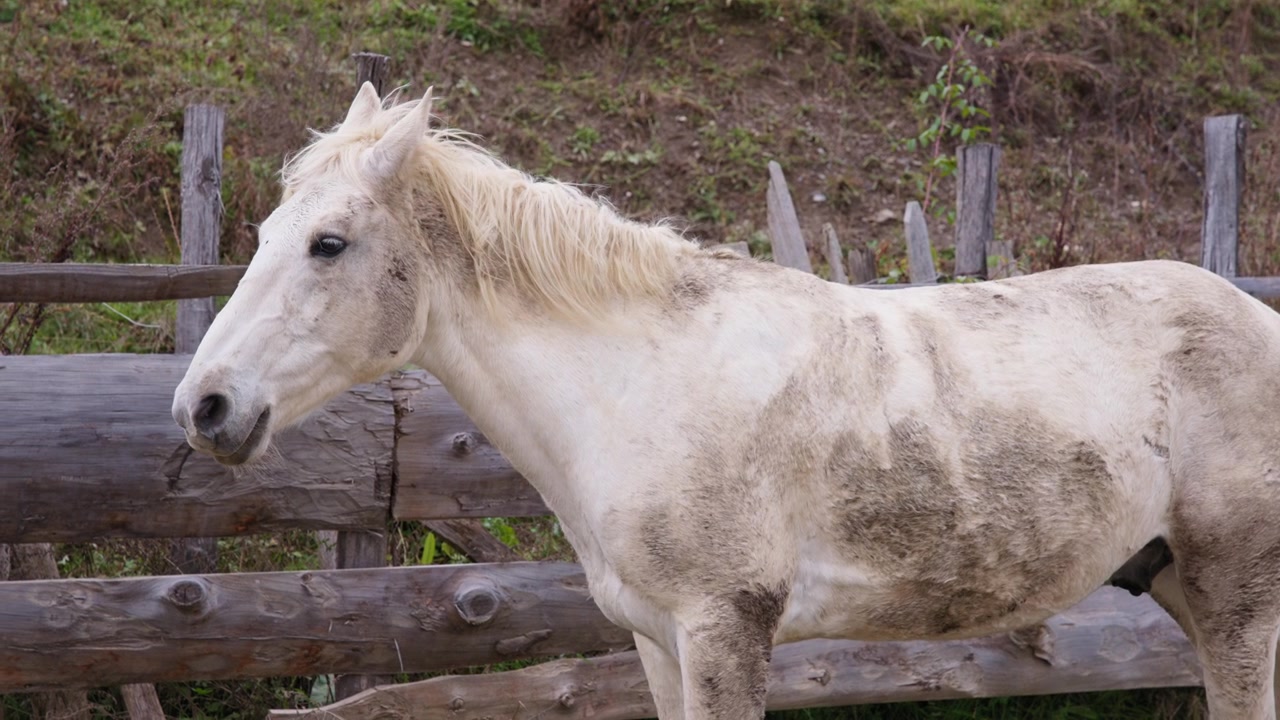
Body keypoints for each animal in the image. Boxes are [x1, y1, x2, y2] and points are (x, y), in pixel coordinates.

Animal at [172, 83, 1280, 719]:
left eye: (329, 244)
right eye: (266, 233)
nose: (205, 407)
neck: (642, 387)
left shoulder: (726, 633)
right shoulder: (658, 644)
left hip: (1236, 601)